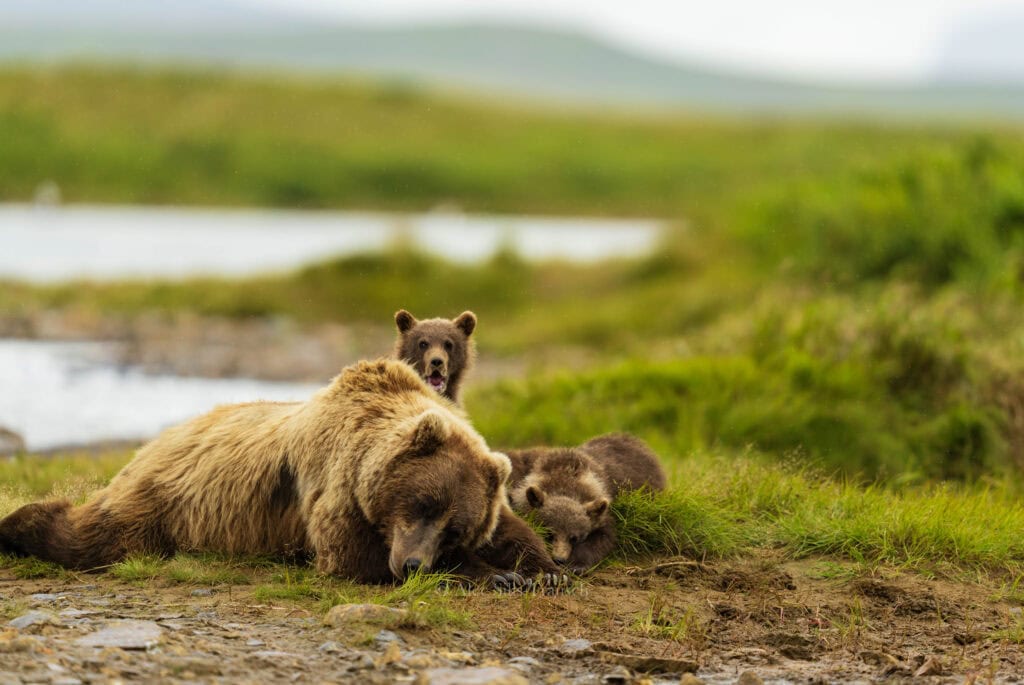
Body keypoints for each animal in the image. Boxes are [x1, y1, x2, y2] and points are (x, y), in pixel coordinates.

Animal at [0, 359, 559, 587]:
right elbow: (352, 557)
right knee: (93, 537)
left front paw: (541, 570)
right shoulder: (335, 488)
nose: (415, 564)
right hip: (157, 503)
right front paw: (496, 575)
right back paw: (18, 526)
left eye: (455, 527)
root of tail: (162, 437)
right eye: (422, 505)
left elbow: (513, 530)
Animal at [504, 433, 667, 573]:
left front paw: (577, 565)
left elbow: (603, 537)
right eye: (549, 533)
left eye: (574, 537)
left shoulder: (602, 509)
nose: (559, 559)